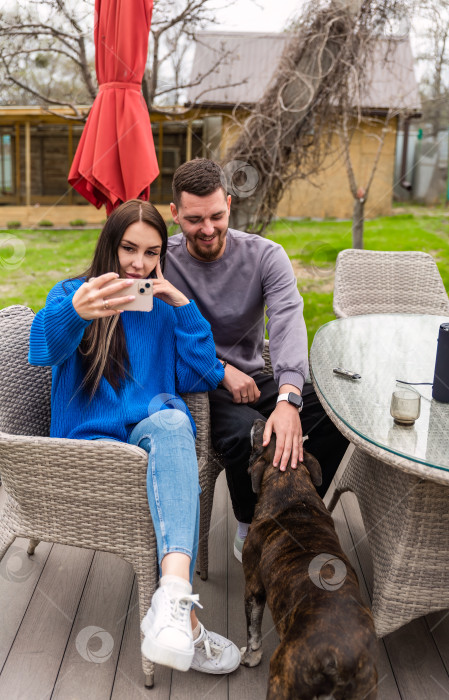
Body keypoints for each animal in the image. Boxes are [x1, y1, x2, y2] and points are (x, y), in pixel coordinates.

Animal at [240, 422, 376, 700]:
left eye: (262, 437)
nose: (258, 422)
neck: (291, 489)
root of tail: (339, 659)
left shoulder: (254, 589)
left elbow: (253, 631)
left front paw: (251, 657)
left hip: (283, 678)